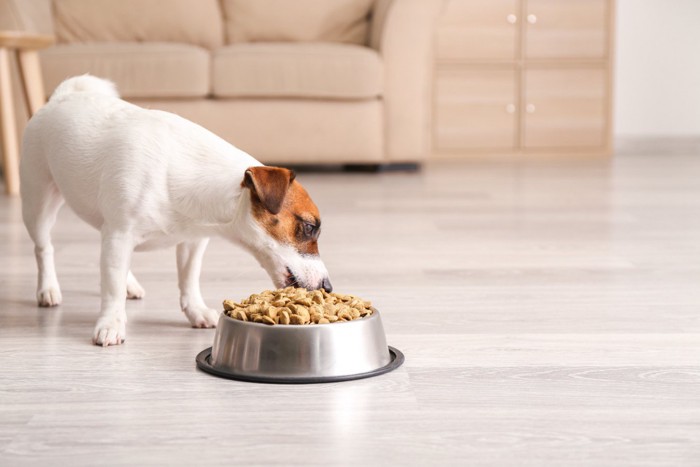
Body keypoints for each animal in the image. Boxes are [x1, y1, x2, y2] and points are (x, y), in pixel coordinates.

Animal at [19, 75, 330, 348]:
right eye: (309, 227)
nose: (328, 286)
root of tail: (62, 96)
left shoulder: (192, 241)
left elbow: (188, 280)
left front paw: (196, 311)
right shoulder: (120, 234)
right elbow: (111, 288)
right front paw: (111, 323)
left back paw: (129, 284)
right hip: (38, 204)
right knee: (44, 248)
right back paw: (48, 288)